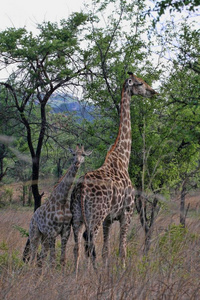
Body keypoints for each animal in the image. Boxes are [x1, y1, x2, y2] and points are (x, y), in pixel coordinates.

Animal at [70, 72, 158, 272]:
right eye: (140, 83)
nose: (153, 92)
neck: (122, 159)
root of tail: (82, 188)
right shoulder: (127, 213)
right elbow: (121, 249)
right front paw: (122, 270)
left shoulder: (109, 219)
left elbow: (106, 250)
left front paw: (107, 271)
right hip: (95, 215)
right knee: (90, 243)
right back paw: (89, 273)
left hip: (77, 217)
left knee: (77, 247)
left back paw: (75, 274)